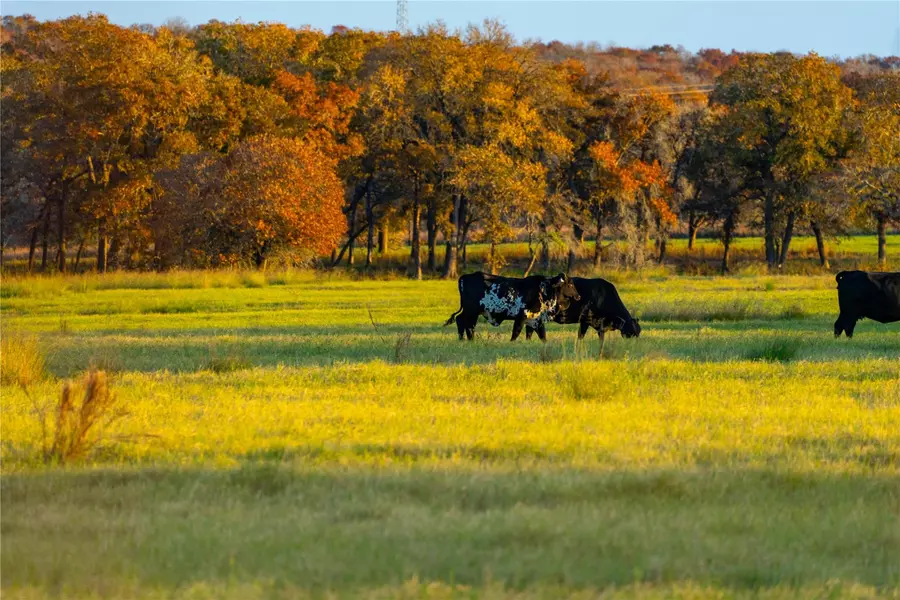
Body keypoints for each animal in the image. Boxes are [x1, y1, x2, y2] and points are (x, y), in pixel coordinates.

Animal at [444, 274, 584, 342]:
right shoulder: (521, 317)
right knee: (466, 323)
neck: (544, 290)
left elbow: (542, 335)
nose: (578, 296)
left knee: (462, 321)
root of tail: (464, 277)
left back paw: (464, 339)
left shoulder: (536, 319)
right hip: (471, 311)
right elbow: (516, 332)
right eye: (570, 284)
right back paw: (468, 339)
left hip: (471, 312)